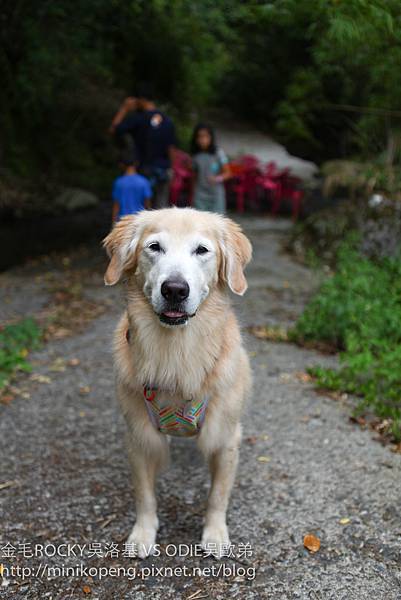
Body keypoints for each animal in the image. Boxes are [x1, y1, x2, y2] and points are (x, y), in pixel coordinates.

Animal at [104, 207, 253, 556]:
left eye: (202, 250)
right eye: (154, 247)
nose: (174, 289)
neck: (176, 353)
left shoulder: (225, 437)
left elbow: (217, 495)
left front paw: (215, 534)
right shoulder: (139, 437)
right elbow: (144, 496)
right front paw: (143, 533)